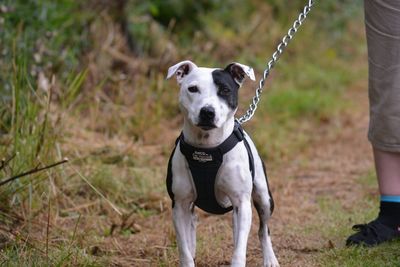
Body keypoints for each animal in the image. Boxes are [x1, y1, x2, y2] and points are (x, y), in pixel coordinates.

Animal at [166, 60, 278, 267]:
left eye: (225, 90)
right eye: (192, 89)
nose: (207, 112)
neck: (207, 149)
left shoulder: (242, 203)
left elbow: (239, 250)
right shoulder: (179, 205)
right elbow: (184, 249)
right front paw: (188, 257)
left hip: (264, 198)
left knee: (263, 229)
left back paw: (270, 259)